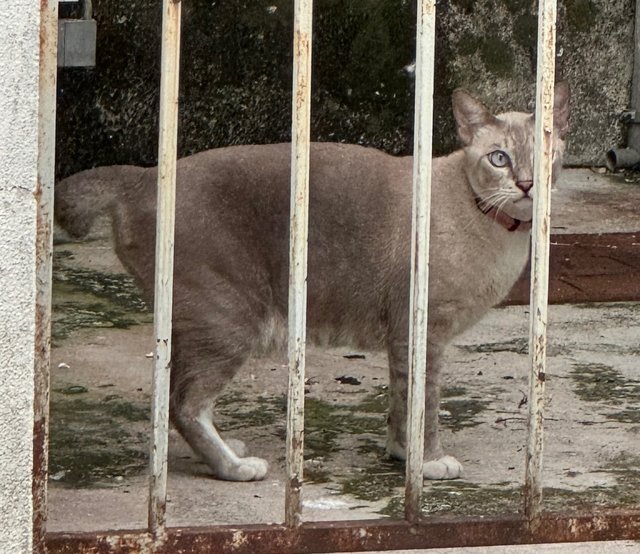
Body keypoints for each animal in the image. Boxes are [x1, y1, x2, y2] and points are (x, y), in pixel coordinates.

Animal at [55, 81, 568, 478]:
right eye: (499, 159)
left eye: (544, 156)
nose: (526, 184)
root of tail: (144, 177)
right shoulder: (423, 334)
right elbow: (423, 406)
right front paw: (427, 463)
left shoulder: (404, 342)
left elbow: (399, 402)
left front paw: (401, 455)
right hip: (230, 322)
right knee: (184, 404)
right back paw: (236, 467)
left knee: (174, 397)